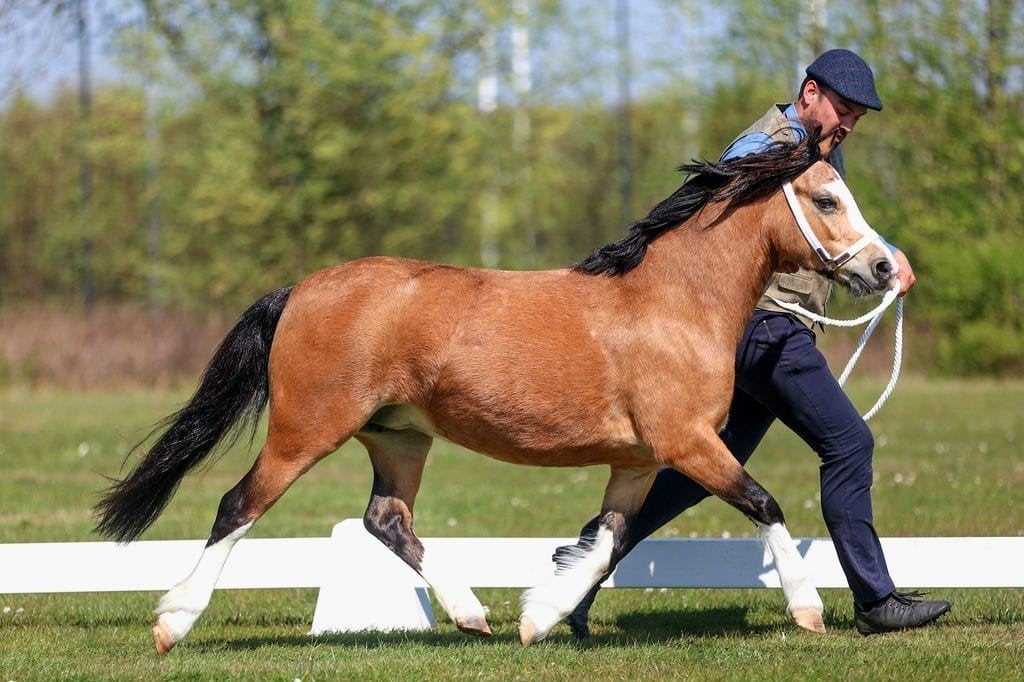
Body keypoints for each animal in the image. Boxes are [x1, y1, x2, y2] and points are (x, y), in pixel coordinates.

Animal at [95, 128, 896, 654]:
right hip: (305, 432)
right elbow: (764, 504)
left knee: (386, 520)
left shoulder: (639, 461)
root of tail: (298, 290)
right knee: (239, 506)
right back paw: (172, 624)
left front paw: (539, 618)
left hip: (399, 437)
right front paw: (809, 611)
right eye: (827, 198)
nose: (886, 269)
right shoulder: (689, 443)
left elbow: (607, 541)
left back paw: (472, 614)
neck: (673, 302)